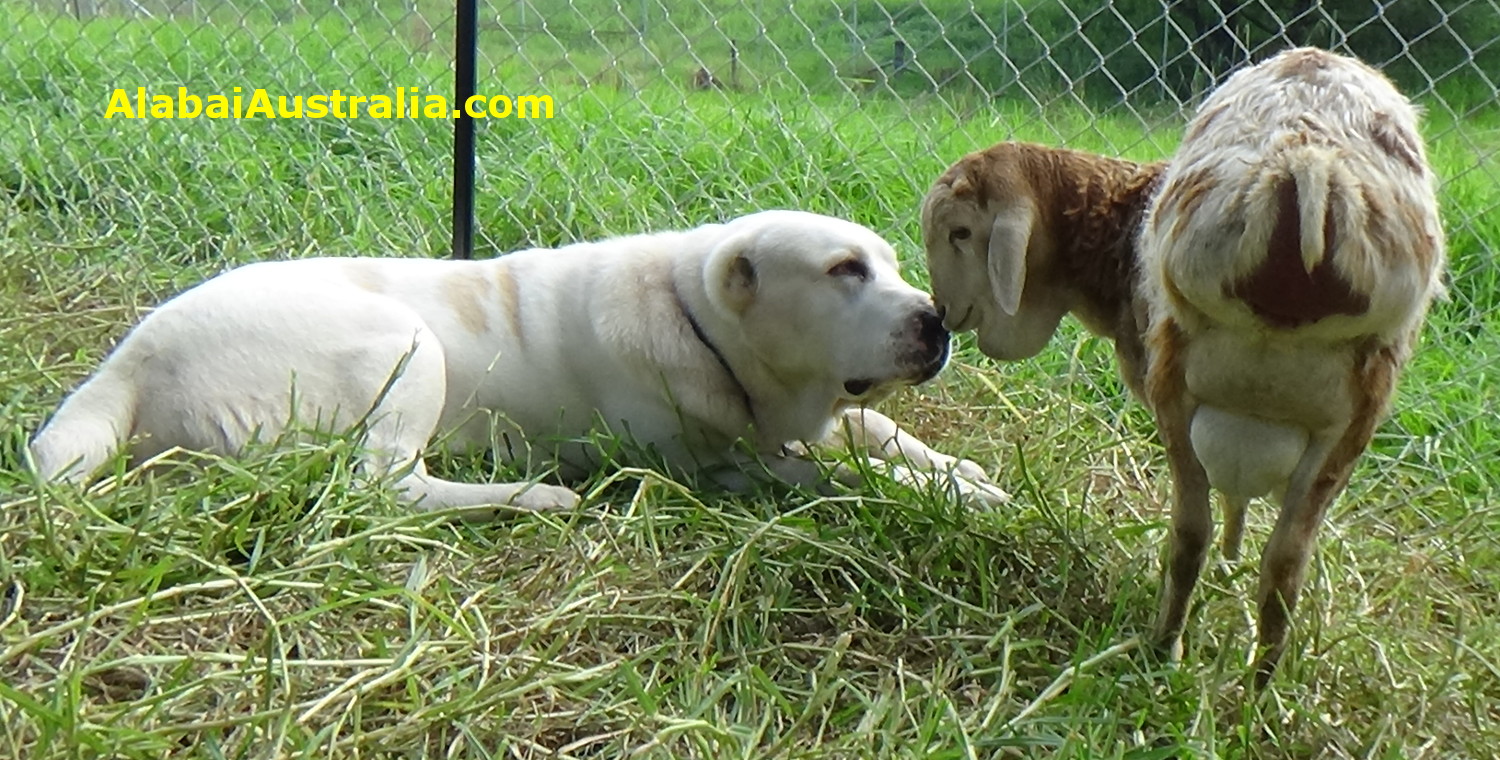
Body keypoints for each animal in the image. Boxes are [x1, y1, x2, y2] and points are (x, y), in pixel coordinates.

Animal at [29, 211, 1008, 515]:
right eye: (844, 272)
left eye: (890, 265)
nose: (938, 320)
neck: (692, 317)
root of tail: (127, 361)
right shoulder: (714, 466)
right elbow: (831, 474)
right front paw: (951, 493)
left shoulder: (812, 417)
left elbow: (874, 426)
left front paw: (959, 471)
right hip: (406, 344)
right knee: (386, 486)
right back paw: (536, 495)